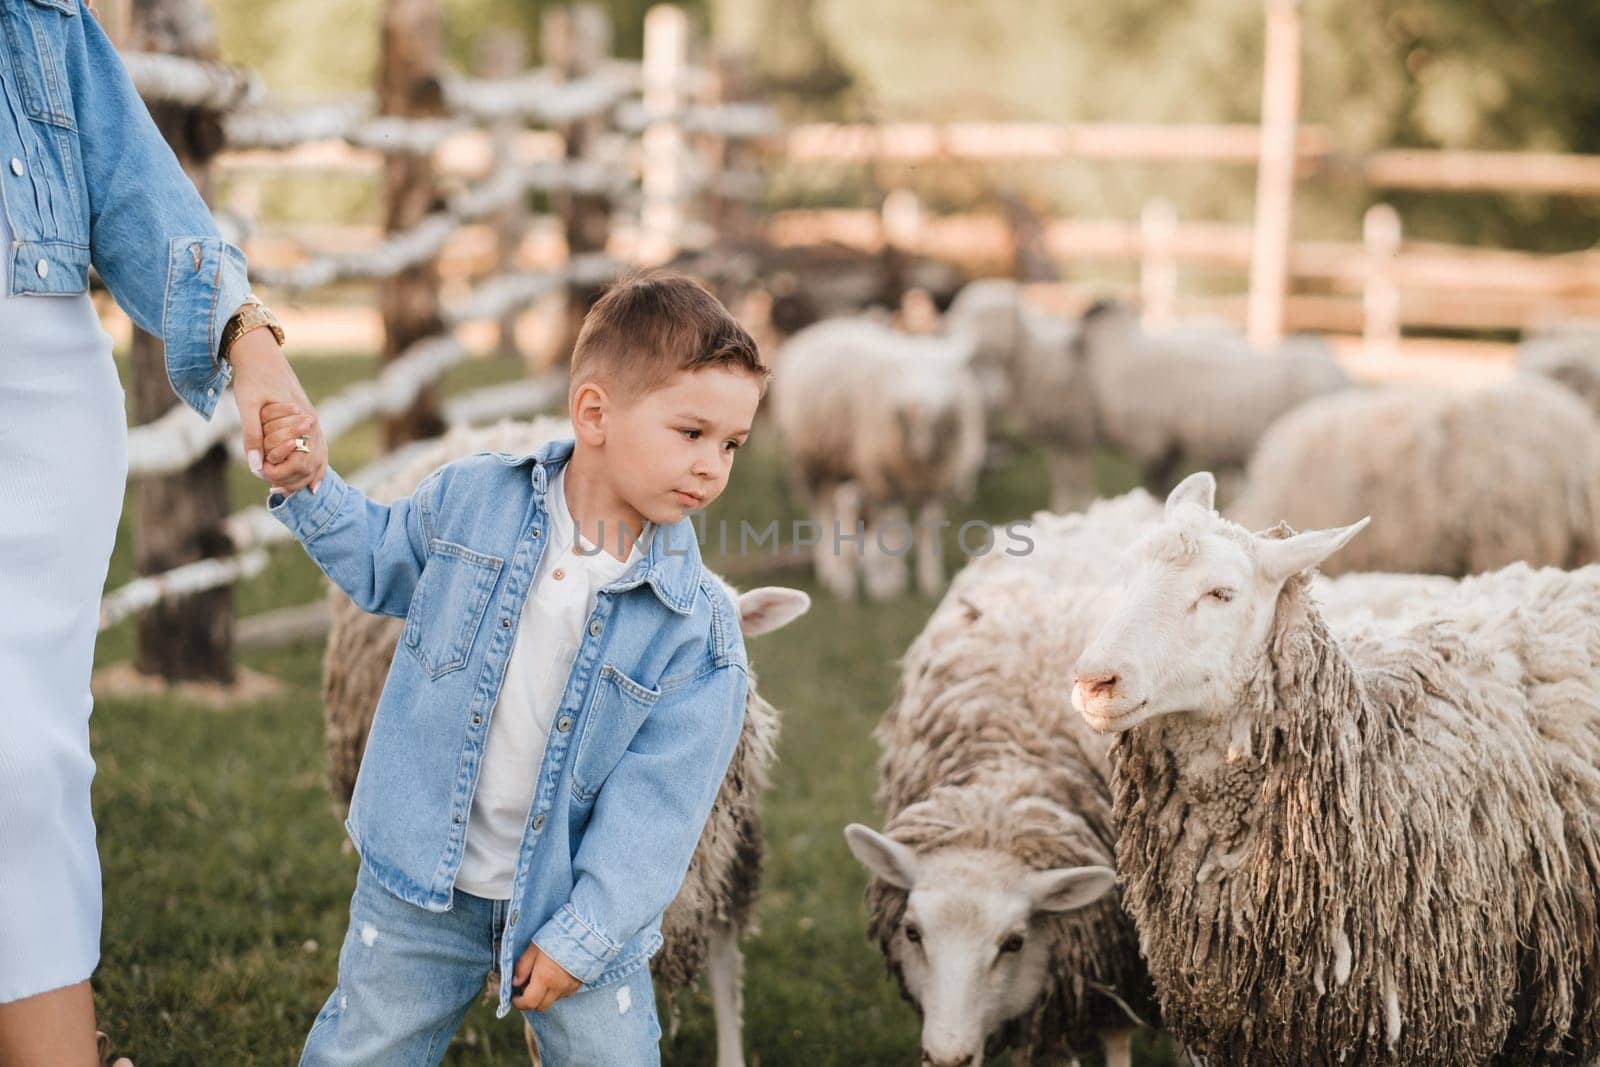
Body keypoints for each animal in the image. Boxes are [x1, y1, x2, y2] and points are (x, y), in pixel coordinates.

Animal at [764, 315, 979, 601]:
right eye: (902, 371)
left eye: (943, 372)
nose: (914, 408)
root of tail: (826, 324)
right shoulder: (883, 474)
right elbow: (895, 525)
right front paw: (894, 584)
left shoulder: (935, 479)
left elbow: (927, 526)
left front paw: (929, 581)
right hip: (809, 458)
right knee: (821, 511)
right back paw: (829, 569)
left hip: (837, 463)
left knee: (835, 504)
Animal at [844, 495, 1171, 1067]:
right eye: (912, 932)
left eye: (1014, 943)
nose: (947, 1059)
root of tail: (1101, 507)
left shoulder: (1112, 951)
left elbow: (1117, 1031)